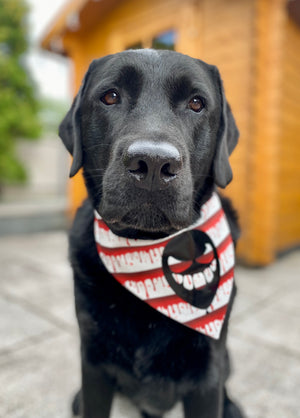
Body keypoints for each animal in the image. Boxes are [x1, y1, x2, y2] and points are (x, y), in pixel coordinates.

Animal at [59, 49, 243, 418]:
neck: (147, 249)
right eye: (110, 96)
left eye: (197, 103)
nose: (154, 164)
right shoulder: (93, 361)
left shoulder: (207, 371)